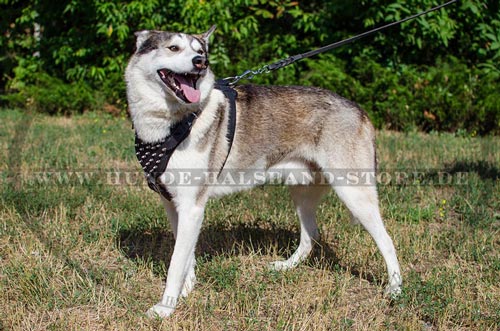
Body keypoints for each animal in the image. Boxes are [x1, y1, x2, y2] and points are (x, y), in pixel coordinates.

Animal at [125, 26, 402, 320]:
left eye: (199, 51)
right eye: (174, 48)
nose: (201, 63)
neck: (173, 123)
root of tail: (361, 111)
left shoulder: (192, 208)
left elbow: (176, 263)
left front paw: (166, 306)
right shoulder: (173, 206)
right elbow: (185, 256)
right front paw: (186, 290)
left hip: (354, 194)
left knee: (386, 240)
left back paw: (395, 290)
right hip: (302, 193)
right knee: (311, 236)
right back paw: (286, 266)